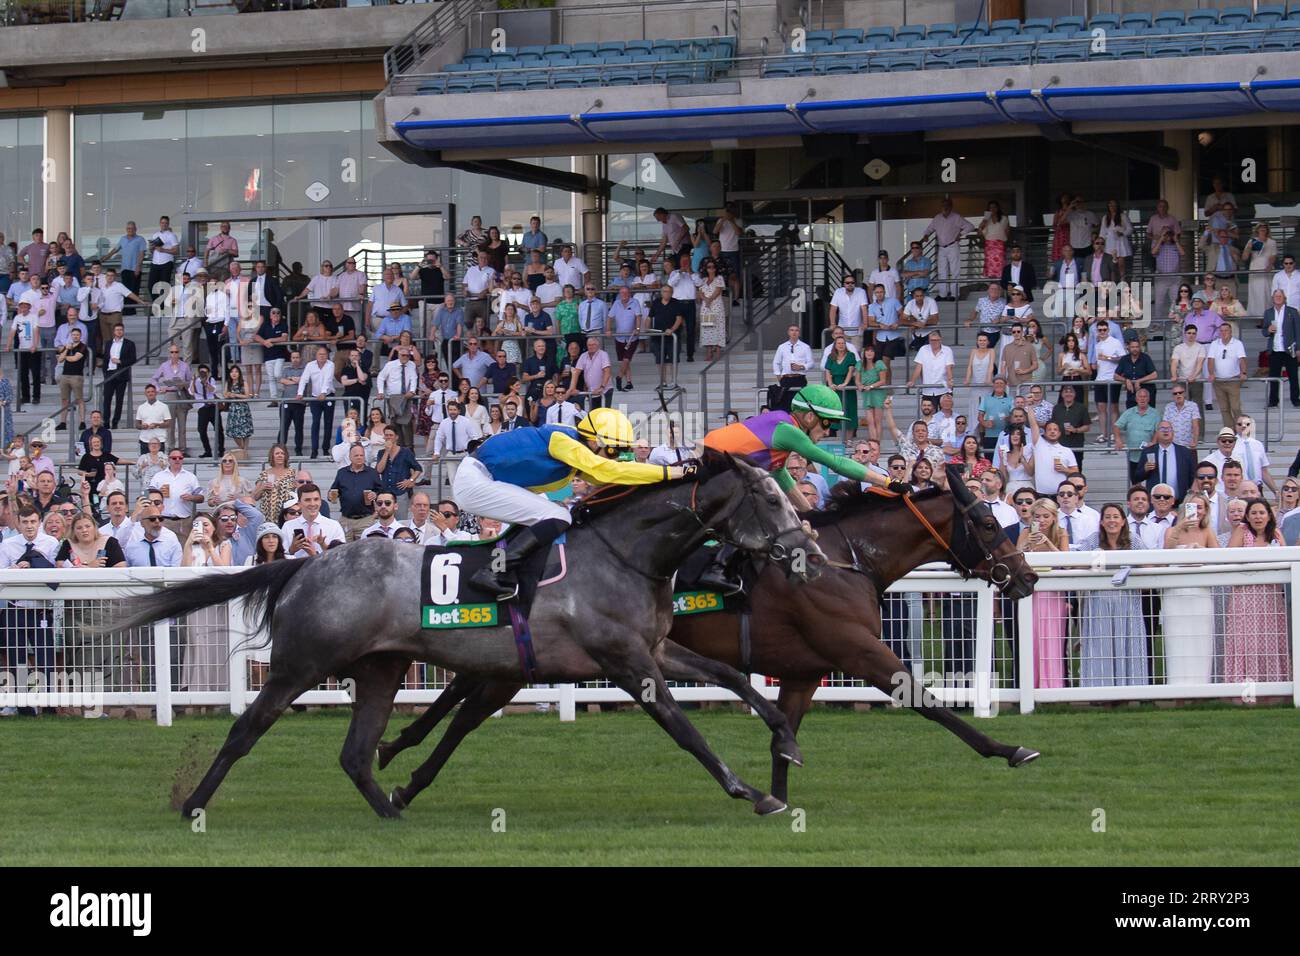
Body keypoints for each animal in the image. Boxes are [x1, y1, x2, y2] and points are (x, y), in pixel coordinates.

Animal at [110, 450, 827, 819]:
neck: (626, 554)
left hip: (381, 669)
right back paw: (192, 803)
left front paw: (787, 743)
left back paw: (392, 810)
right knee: (246, 729)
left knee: (355, 752)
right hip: (299, 664)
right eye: (769, 498)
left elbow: (734, 677)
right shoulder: (627, 662)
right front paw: (752, 791)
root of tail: (309, 561)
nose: (810, 552)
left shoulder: (651, 649)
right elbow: (685, 731)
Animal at [377, 467, 1041, 805]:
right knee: (462, 702)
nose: (1028, 578)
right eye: (987, 524)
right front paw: (1009, 749)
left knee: (462, 698)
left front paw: (779, 791)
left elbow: (783, 730)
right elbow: (925, 700)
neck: (843, 559)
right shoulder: (857, 650)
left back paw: (397, 757)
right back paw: (397, 756)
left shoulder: (803, 670)